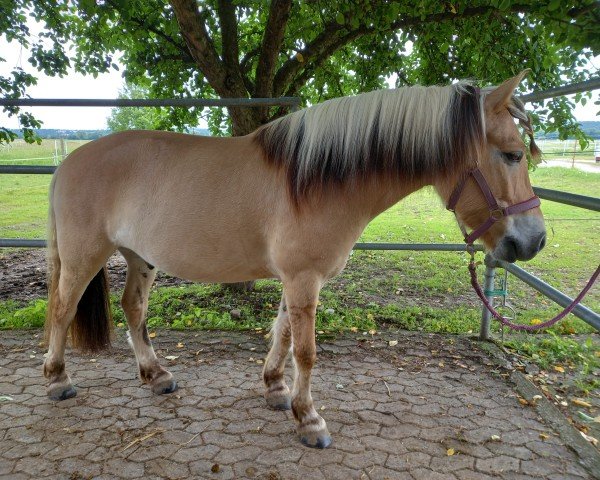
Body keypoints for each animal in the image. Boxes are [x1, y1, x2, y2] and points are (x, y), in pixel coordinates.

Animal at [44, 69, 548, 448]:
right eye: (512, 154)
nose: (535, 241)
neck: (318, 178)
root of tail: (68, 163)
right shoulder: (304, 277)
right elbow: (305, 350)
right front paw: (309, 419)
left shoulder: (298, 278)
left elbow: (283, 334)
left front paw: (276, 388)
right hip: (84, 255)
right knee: (63, 309)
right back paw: (57, 379)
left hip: (139, 256)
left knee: (133, 308)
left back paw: (155, 375)